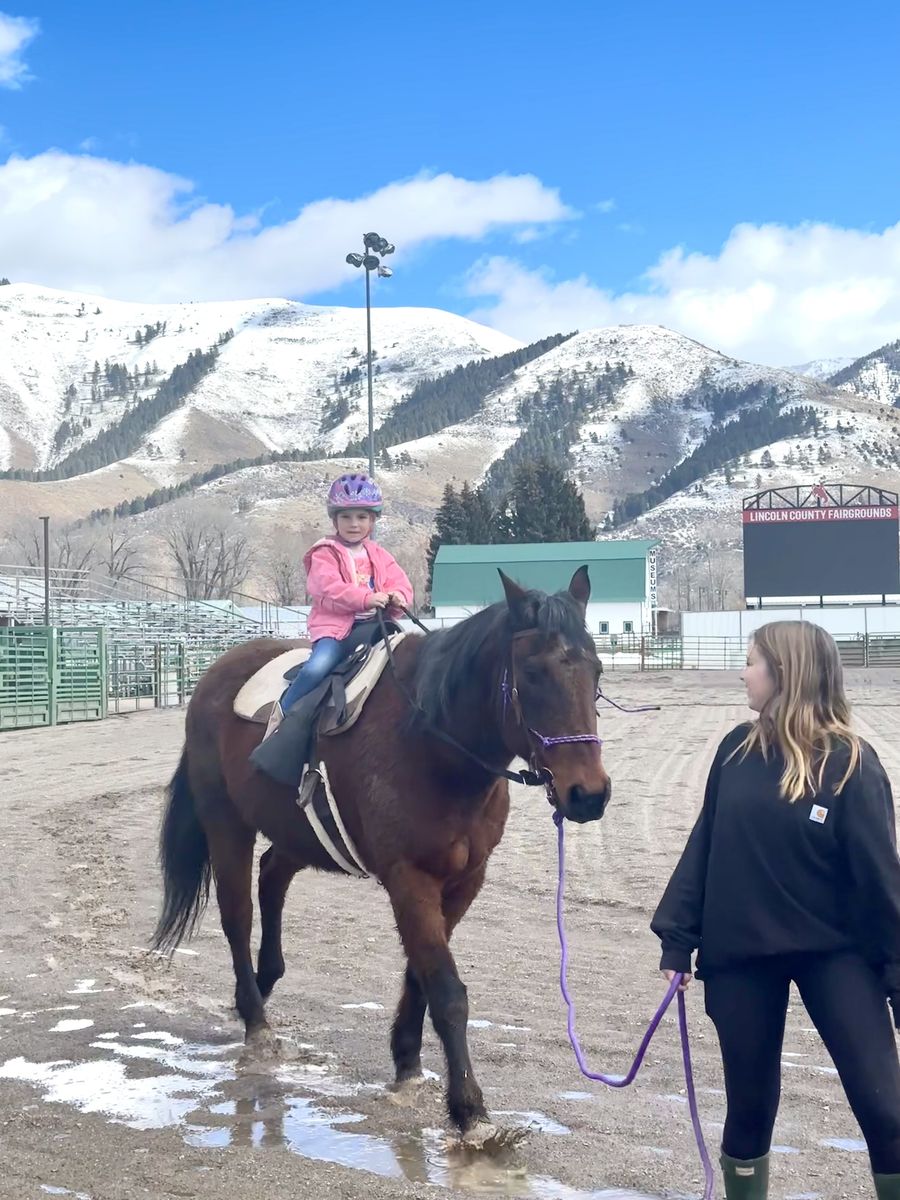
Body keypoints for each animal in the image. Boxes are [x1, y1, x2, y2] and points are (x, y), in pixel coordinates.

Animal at [152, 566, 610, 1143]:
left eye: (595, 669)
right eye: (531, 673)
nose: (588, 794)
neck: (433, 741)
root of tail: (214, 677)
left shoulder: (464, 881)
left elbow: (421, 973)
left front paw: (407, 1060)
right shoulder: (409, 878)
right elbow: (447, 989)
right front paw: (470, 1109)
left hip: (296, 831)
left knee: (272, 877)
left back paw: (263, 980)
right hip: (225, 823)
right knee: (238, 914)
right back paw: (255, 1019)